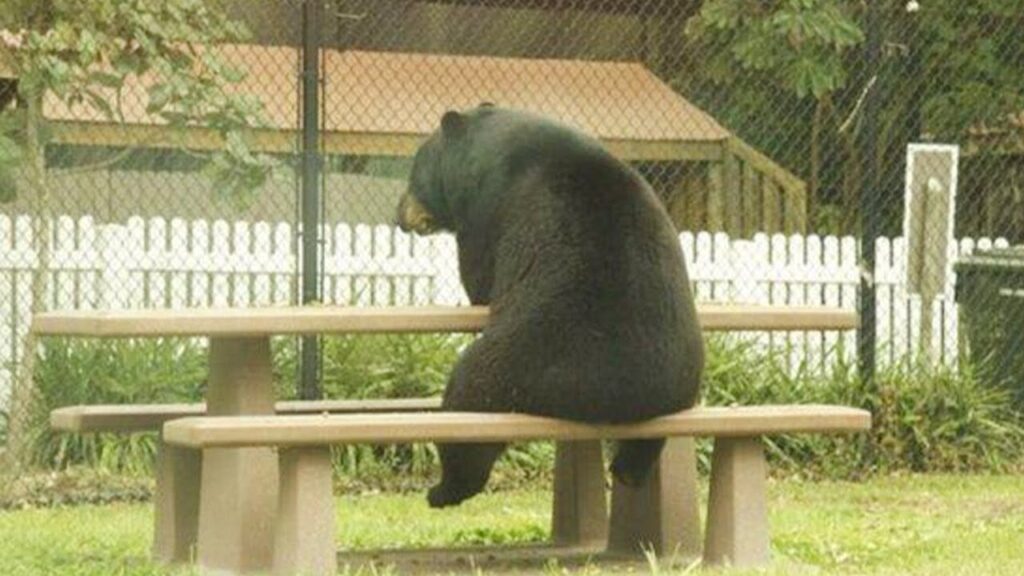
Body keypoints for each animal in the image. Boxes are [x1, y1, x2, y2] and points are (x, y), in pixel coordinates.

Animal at [397, 105, 704, 504]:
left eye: (415, 170)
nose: (399, 214)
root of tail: (609, 396)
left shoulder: (489, 207)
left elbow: (480, 274)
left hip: (522, 358)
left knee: (469, 403)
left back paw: (443, 490)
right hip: (672, 391)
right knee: (643, 448)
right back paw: (627, 472)